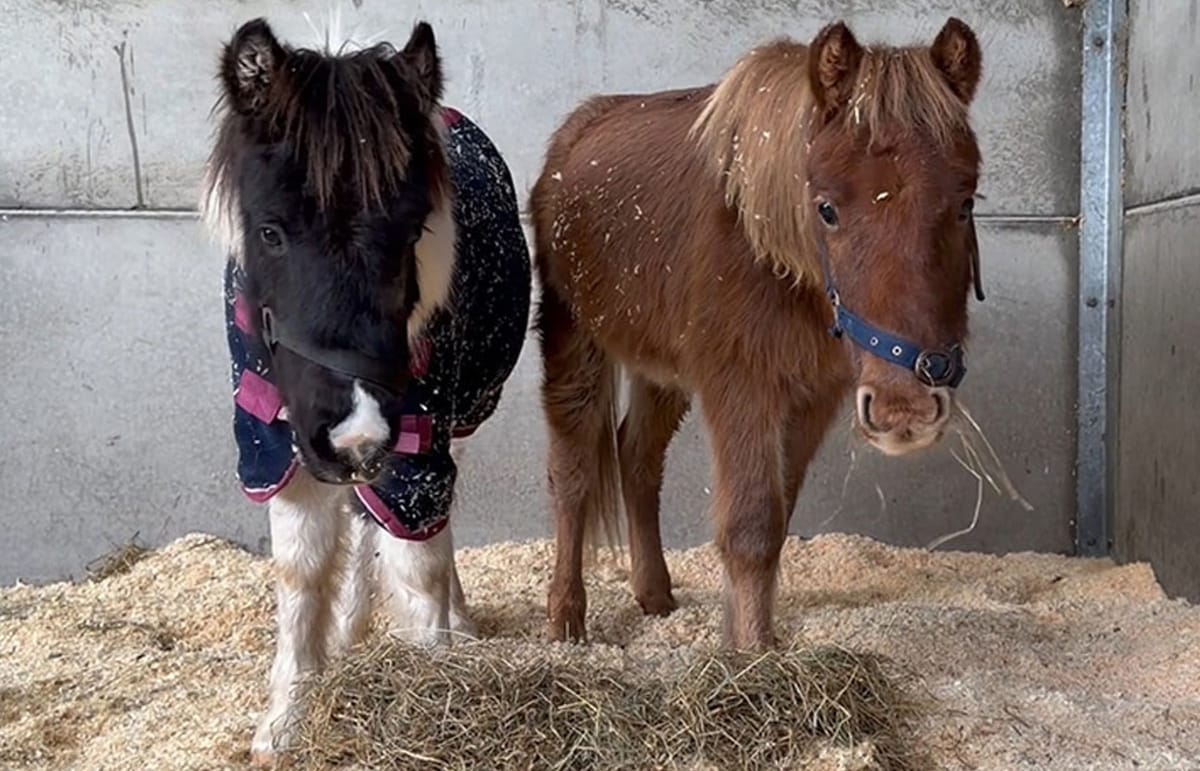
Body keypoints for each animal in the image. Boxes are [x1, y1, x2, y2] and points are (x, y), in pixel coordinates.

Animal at [199, 18, 531, 761]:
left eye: (411, 232)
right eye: (271, 230)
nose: (357, 437)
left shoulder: (416, 443)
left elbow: (418, 568)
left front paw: (433, 690)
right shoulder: (274, 444)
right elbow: (300, 574)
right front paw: (283, 724)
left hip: (455, 419)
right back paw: (352, 632)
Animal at [530, 18, 985, 650]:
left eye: (965, 204)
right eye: (826, 209)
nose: (906, 410)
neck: (769, 251)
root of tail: (575, 134)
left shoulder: (811, 397)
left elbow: (777, 517)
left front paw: (748, 639)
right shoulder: (740, 387)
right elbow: (750, 526)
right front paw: (751, 654)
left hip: (660, 369)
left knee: (637, 457)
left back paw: (654, 594)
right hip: (575, 340)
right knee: (572, 470)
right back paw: (567, 618)